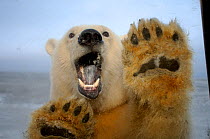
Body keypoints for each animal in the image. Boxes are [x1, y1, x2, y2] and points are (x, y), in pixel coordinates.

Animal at [27, 18, 192, 139]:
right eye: (71, 34)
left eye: (106, 33)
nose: (89, 35)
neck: (99, 109)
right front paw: (58, 123)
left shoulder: (127, 117)